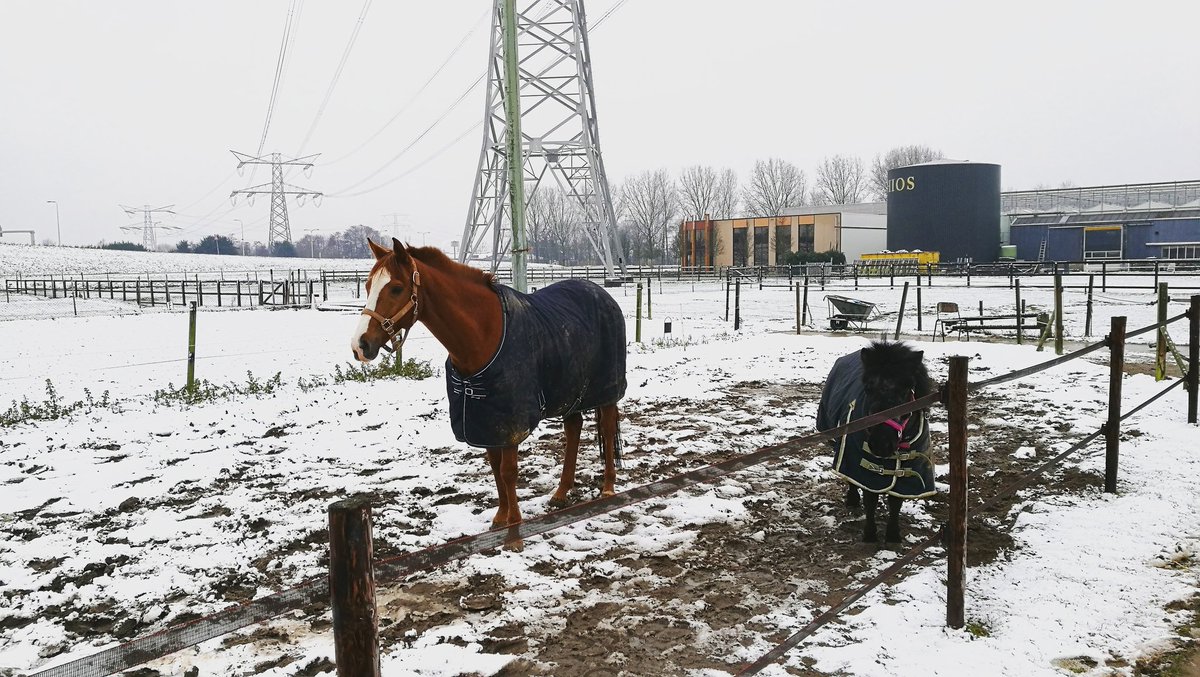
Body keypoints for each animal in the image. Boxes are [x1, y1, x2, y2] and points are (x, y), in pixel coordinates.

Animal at [350, 238, 627, 550]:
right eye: (368, 285)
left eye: (396, 288)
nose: (360, 345)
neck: (483, 333)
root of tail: (602, 294)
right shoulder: (484, 418)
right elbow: (494, 466)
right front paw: (500, 518)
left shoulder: (510, 421)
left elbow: (508, 471)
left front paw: (515, 531)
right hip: (570, 390)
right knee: (574, 428)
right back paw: (560, 493)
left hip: (607, 390)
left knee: (606, 429)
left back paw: (608, 489)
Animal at [816, 341, 936, 544]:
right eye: (868, 389)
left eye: (907, 389)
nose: (881, 444)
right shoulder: (864, 465)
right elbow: (870, 498)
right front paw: (870, 534)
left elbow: (896, 501)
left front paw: (893, 535)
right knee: (851, 479)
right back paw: (852, 499)